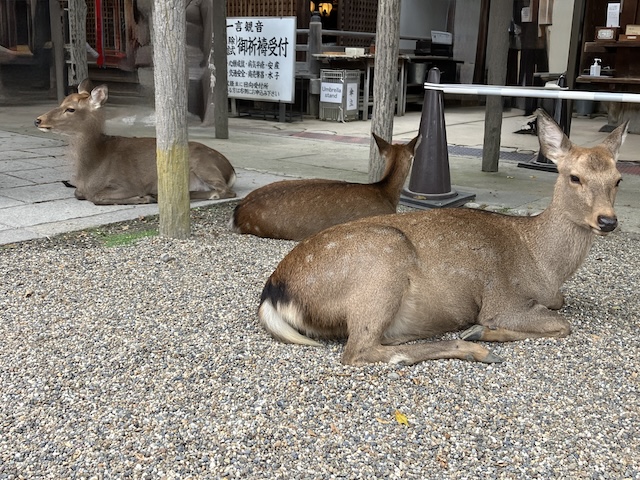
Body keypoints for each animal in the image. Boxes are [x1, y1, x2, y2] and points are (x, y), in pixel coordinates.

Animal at [35, 78, 236, 204]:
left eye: (70, 109)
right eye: (62, 102)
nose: (38, 120)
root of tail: (231, 170)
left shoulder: (127, 184)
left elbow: (96, 197)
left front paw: (143, 198)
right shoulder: (80, 188)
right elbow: (78, 193)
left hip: (203, 164)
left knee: (225, 191)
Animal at [258, 108, 628, 364]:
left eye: (618, 179)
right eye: (574, 177)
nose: (608, 221)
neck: (544, 266)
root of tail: (274, 292)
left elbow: (560, 312)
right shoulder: (502, 299)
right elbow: (561, 324)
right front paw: (482, 330)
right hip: (383, 262)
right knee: (359, 350)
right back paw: (473, 348)